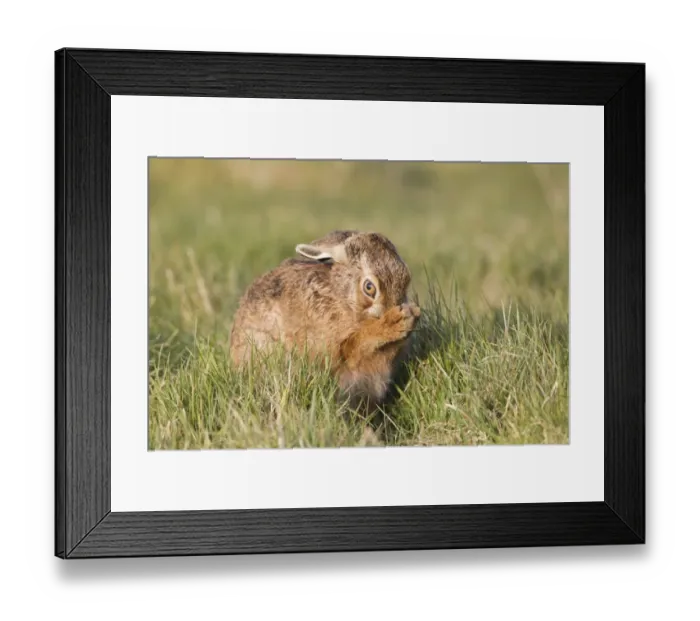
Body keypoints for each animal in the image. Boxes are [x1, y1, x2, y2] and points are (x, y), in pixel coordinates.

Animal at [229, 230, 421, 409]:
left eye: (406, 279)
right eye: (369, 288)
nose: (396, 308)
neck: (344, 299)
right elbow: (355, 347)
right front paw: (397, 322)